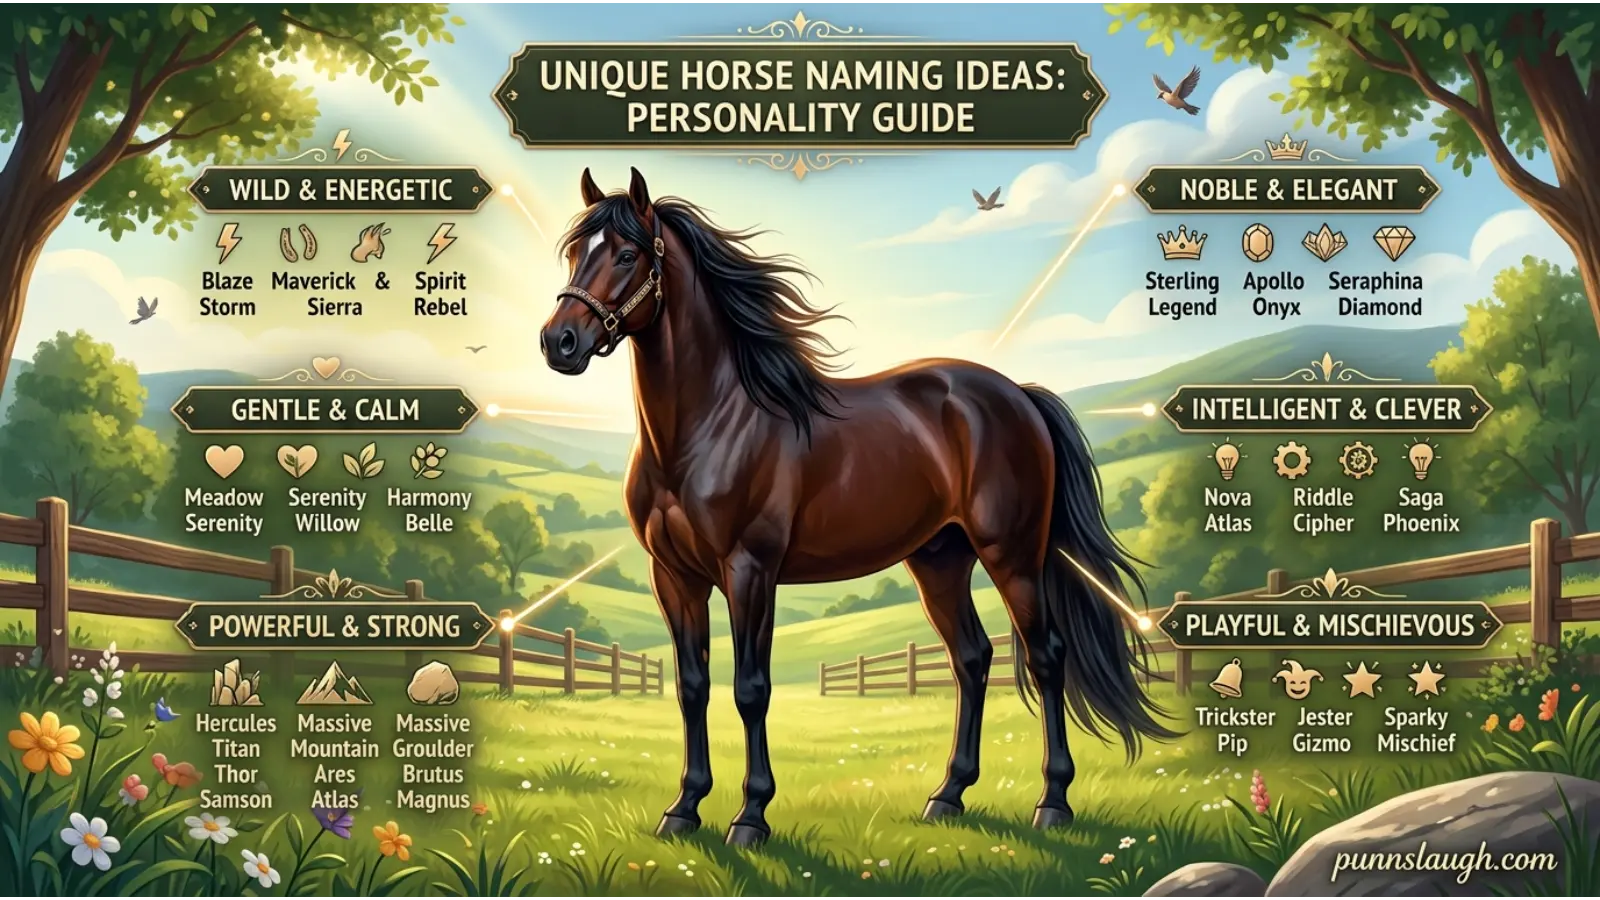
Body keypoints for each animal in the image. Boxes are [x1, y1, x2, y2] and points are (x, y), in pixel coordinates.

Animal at [538, 167, 1176, 847]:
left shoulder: (750, 571)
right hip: (939, 560)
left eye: (627, 255)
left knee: (1045, 656)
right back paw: (947, 796)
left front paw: (751, 817)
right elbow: (692, 687)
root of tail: (1017, 395)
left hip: (1012, 554)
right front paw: (683, 809)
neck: (710, 424)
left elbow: (751, 689)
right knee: (972, 659)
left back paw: (1052, 802)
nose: (559, 342)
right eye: (575, 253)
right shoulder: (674, 577)